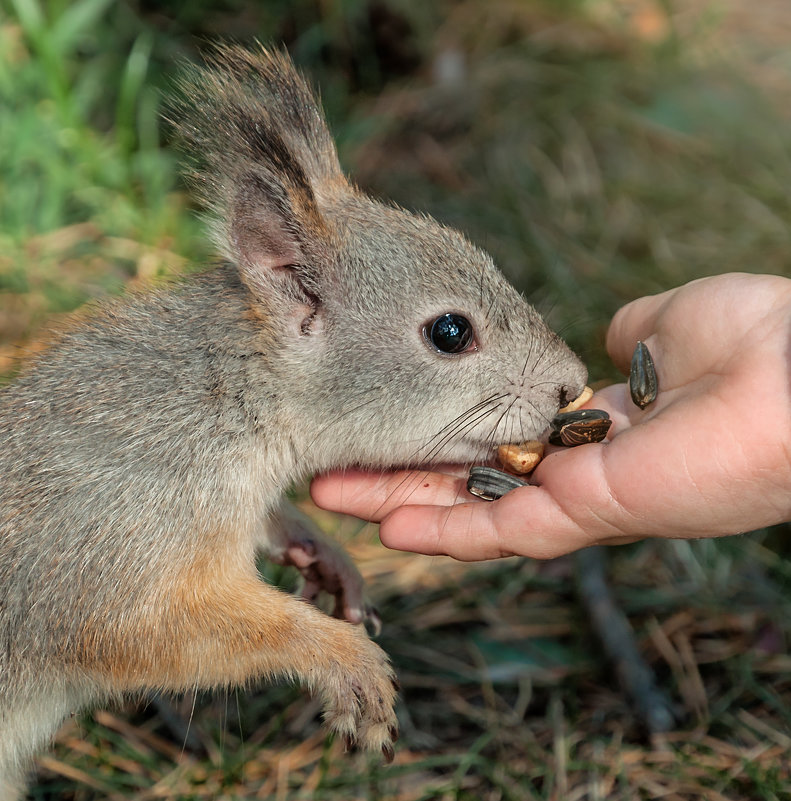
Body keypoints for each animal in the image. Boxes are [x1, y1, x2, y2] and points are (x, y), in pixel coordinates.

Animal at [0, 43, 588, 792]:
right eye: (450, 332)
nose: (572, 385)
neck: (228, 404)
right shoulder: (117, 529)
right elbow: (149, 632)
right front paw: (342, 657)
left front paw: (321, 551)